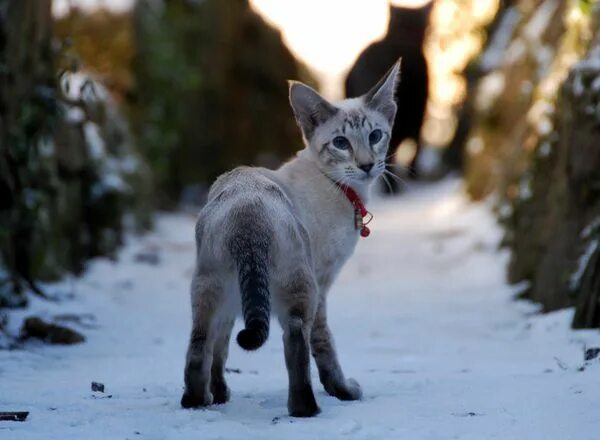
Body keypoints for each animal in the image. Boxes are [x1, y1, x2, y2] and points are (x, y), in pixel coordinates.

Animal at [180, 61, 400, 416]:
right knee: (295, 340)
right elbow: (324, 343)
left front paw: (219, 392)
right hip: (301, 286)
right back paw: (305, 408)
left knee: (202, 343)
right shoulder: (322, 283)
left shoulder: (229, 305)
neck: (341, 188)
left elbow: (219, 348)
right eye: (341, 143)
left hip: (212, 289)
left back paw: (199, 401)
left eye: (376, 136)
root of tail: (247, 211)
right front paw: (343, 390)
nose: (367, 166)